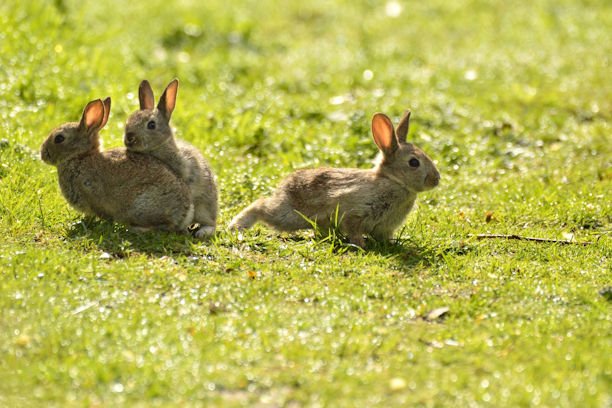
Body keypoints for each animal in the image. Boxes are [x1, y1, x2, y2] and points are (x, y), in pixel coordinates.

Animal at [123, 79, 219, 239]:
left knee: (210, 223)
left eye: (151, 125)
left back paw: (202, 232)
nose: (129, 138)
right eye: (128, 121)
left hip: (204, 207)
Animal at [227, 110, 438, 247]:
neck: (393, 181)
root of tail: (283, 188)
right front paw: (360, 246)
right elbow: (353, 228)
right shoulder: (354, 211)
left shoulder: (384, 227)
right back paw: (236, 226)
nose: (436, 180)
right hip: (288, 215)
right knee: (261, 205)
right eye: (413, 163)